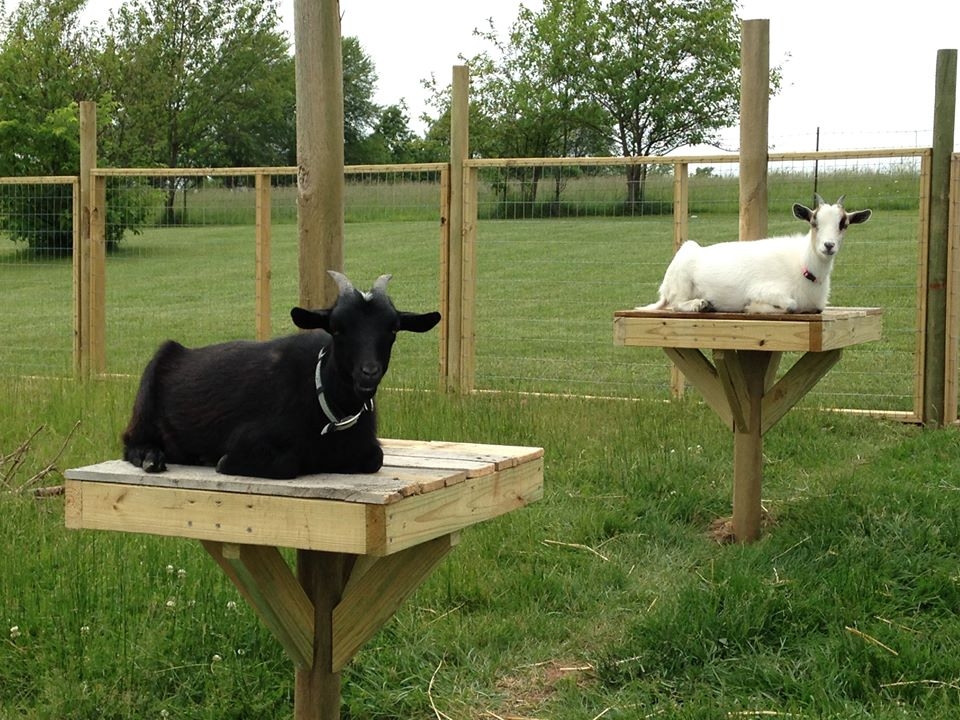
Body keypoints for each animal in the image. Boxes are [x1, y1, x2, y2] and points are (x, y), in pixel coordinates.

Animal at [122, 271, 441, 479]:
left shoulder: (368, 450)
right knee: (130, 443)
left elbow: (375, 458)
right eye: (337, 328)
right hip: (144, 404)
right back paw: (152, 458)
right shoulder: (248, 441)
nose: (369, 372)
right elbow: (287, 463)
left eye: (393, 329)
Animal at [637, 195, 872, 314]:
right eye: (814, 222)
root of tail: (665, 288)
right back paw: (700, 304)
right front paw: (754, 307)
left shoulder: (816, 306)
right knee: (676, 303)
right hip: (682, 284)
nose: (828, 245)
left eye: (844, 224)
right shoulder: (765, 290)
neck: (803, 266)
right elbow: (790, 305)